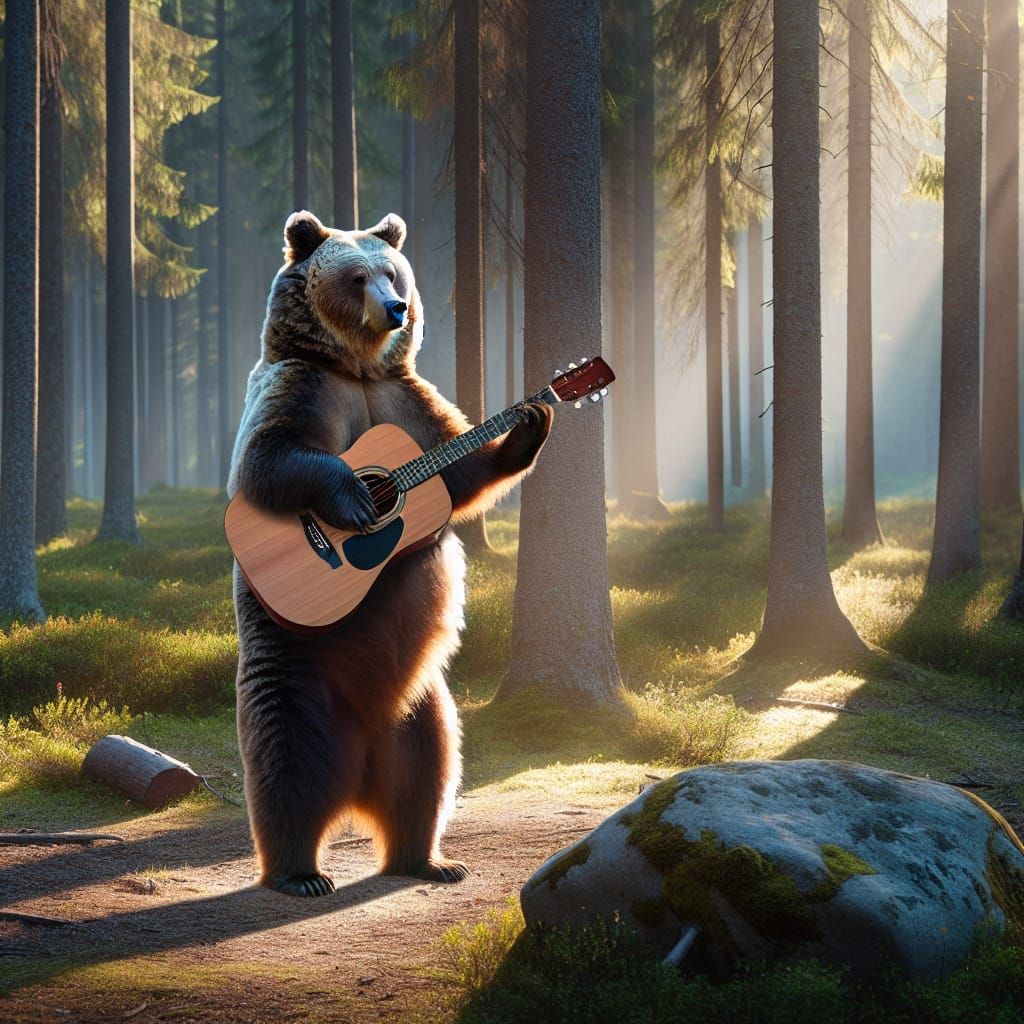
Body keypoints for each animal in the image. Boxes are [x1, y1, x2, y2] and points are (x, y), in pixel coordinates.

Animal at [227, 210, 551, 897]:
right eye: (358, 277)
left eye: (393, 272)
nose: (397, 307)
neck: (359, 369)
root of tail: (358, 774)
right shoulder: (299, 387)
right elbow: (271, 460)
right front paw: (354, 500)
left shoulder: (410, 403)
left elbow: (463, 474)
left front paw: (530, 422)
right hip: (295, 669)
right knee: (285, 762)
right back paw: (299, 872)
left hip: (422, 701)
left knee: (430, 770)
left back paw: (429, 858)